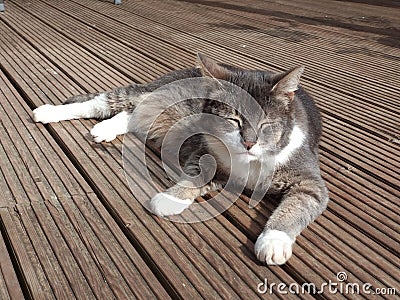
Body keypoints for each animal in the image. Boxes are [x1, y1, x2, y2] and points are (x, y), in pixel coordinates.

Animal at [33, 54, 328, 264]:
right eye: (233, 120)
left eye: (266, 124)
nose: (248, 143)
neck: (250, 164)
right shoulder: (205, 154)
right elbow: (195, 175)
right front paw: (170, 198)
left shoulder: (310, 183)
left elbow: (296, 207)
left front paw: (274, 241)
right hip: (144, 94)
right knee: (104, 102)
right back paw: (48, 112)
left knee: (130, 116)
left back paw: (105, 129)